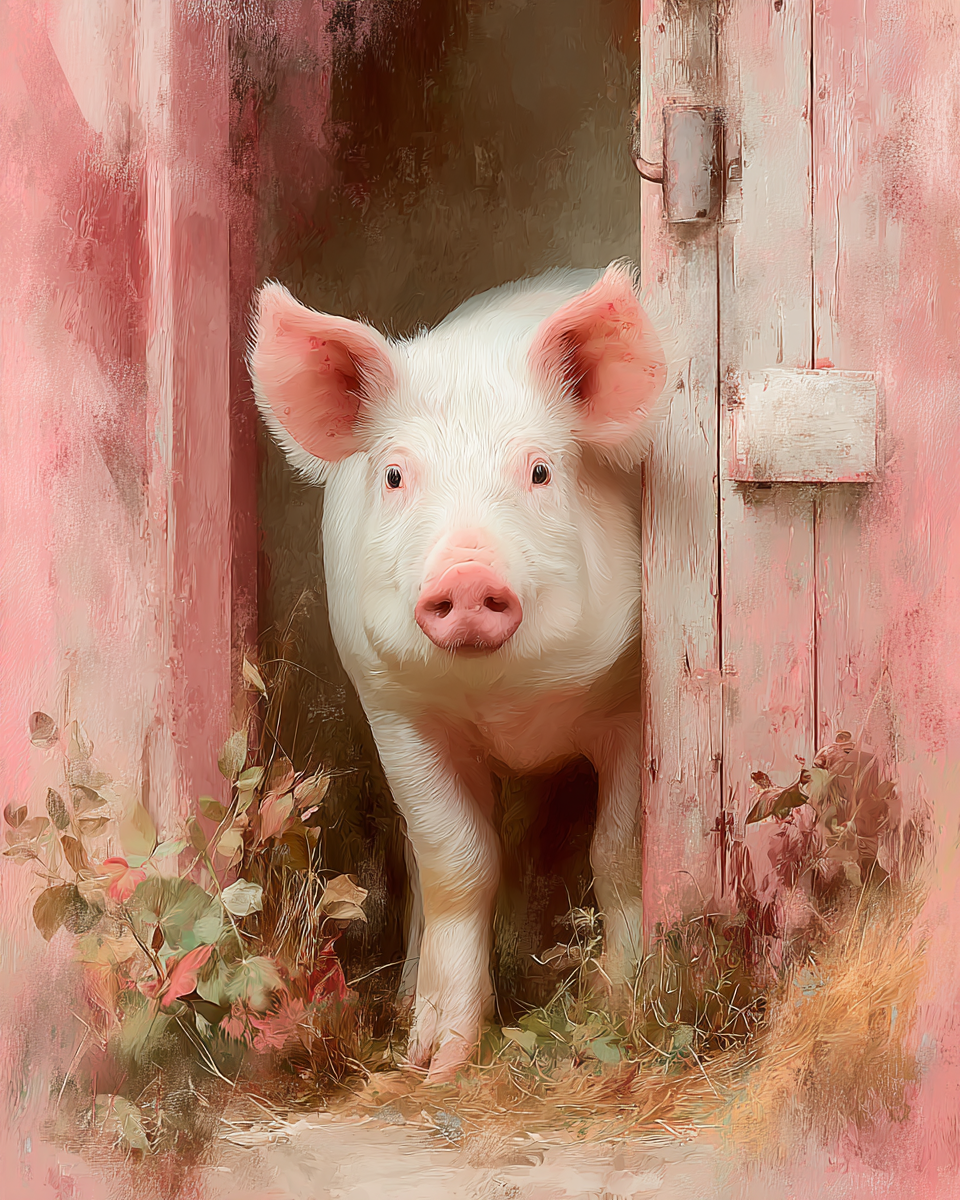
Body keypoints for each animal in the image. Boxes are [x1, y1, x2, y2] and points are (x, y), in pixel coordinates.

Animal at [250, 263, 669, 1081]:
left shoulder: (629, 705)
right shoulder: (395, 709)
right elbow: (456, 859)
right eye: (394, 475)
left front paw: (620, 1009)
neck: (508, 703)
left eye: (540, 471)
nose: (468, 576)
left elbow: (621, 848)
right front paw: (435, 1059)